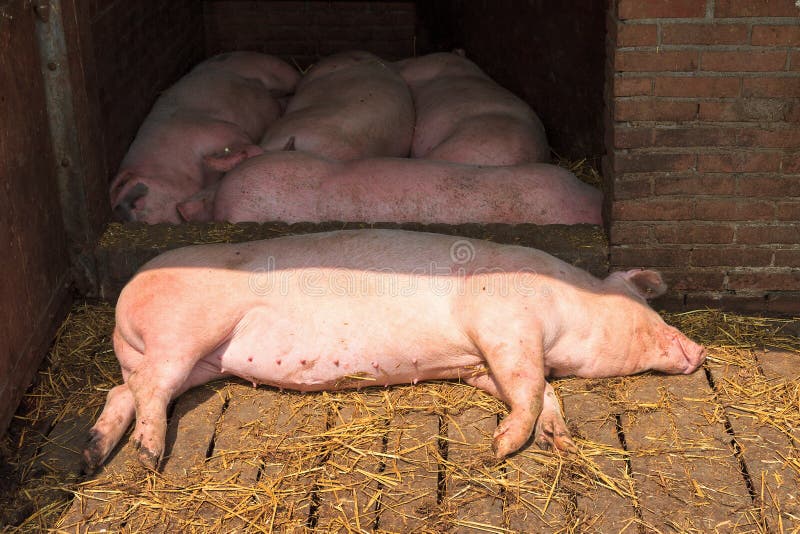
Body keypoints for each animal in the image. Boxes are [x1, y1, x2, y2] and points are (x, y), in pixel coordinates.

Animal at [84, 229, 706, 471]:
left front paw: (561, 441)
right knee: (148, 389)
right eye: (650, 314)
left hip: (195, 360)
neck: (567, 304)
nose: (700, 351)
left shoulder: (482, 364)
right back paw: (147, 456)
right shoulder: (504, 324)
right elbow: (530, 387)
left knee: (123, 388)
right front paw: (495, 452)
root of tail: (125, 296)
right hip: (182, 333)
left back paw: (92, 453)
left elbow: (538, 391)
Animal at [109, 52, 300, 224]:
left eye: (135, 200)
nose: (124, 210)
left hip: (276, 69)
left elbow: (250, 147)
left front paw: (214, 160)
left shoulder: (217, 129)